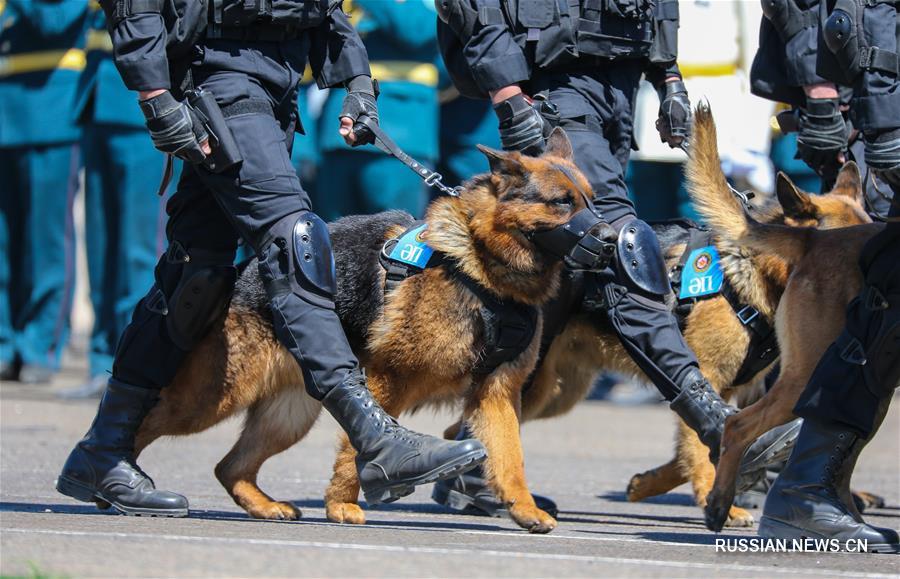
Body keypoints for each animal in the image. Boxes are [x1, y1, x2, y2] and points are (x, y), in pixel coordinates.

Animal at [130, 130, 588, 536]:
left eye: (590, 201)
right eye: (561, 203)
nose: (604, 236)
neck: (482, 261)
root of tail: (246, 270)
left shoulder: (496, 394)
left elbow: (511, 458)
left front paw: (523, 509)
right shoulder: (389, 378)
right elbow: (358, 446)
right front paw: (341, 504)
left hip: (289, 414)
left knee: (230, 467)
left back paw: (261, 505)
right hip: (213, 398)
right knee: (148, 421)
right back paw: (118, 477)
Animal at [472, 103, 872, 524]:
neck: (752, 267)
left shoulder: (732, 389)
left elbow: (706, 443)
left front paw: (648, 484)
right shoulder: (708, 374)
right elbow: (704, 444)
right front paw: (716, 500)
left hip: (556, 392)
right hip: (532, 383)